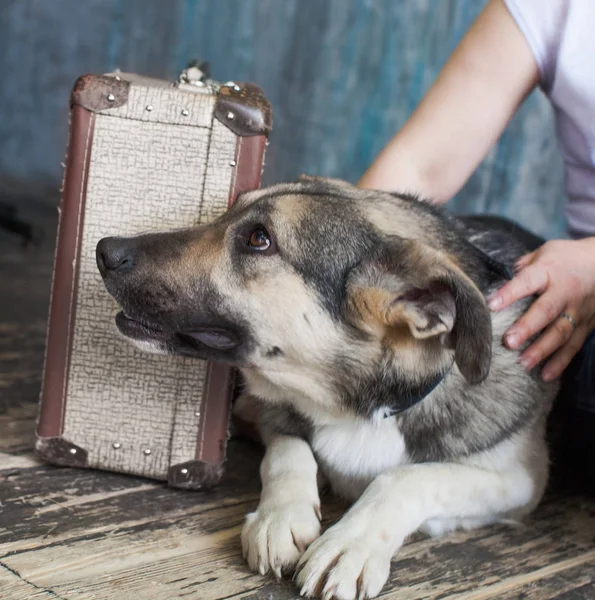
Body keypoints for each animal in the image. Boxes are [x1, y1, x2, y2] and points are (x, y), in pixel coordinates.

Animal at [95, 178, 556, 600]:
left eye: (259, 239)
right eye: (230, 211)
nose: (104, 250)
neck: (365, 408)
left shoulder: (519, 481)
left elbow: (407, 477)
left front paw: (351, 542)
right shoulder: (272, 411)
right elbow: (288, 452)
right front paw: (279, 517)